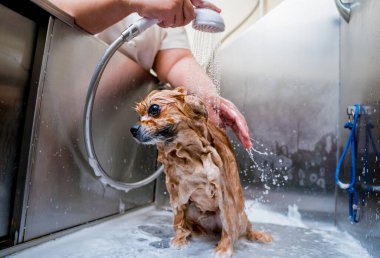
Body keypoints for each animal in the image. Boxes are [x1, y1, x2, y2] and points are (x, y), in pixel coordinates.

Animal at [131, 87, 274, 256]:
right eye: (139, 115)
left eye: (154, 109)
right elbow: (178, 219)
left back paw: (257, 235)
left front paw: (223, 249)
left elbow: (228, 224)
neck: (187, 154)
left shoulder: (224, 193)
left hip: (241, 217)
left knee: (243, 228)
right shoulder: (176, 192)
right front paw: (179, 241)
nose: (133, 129)